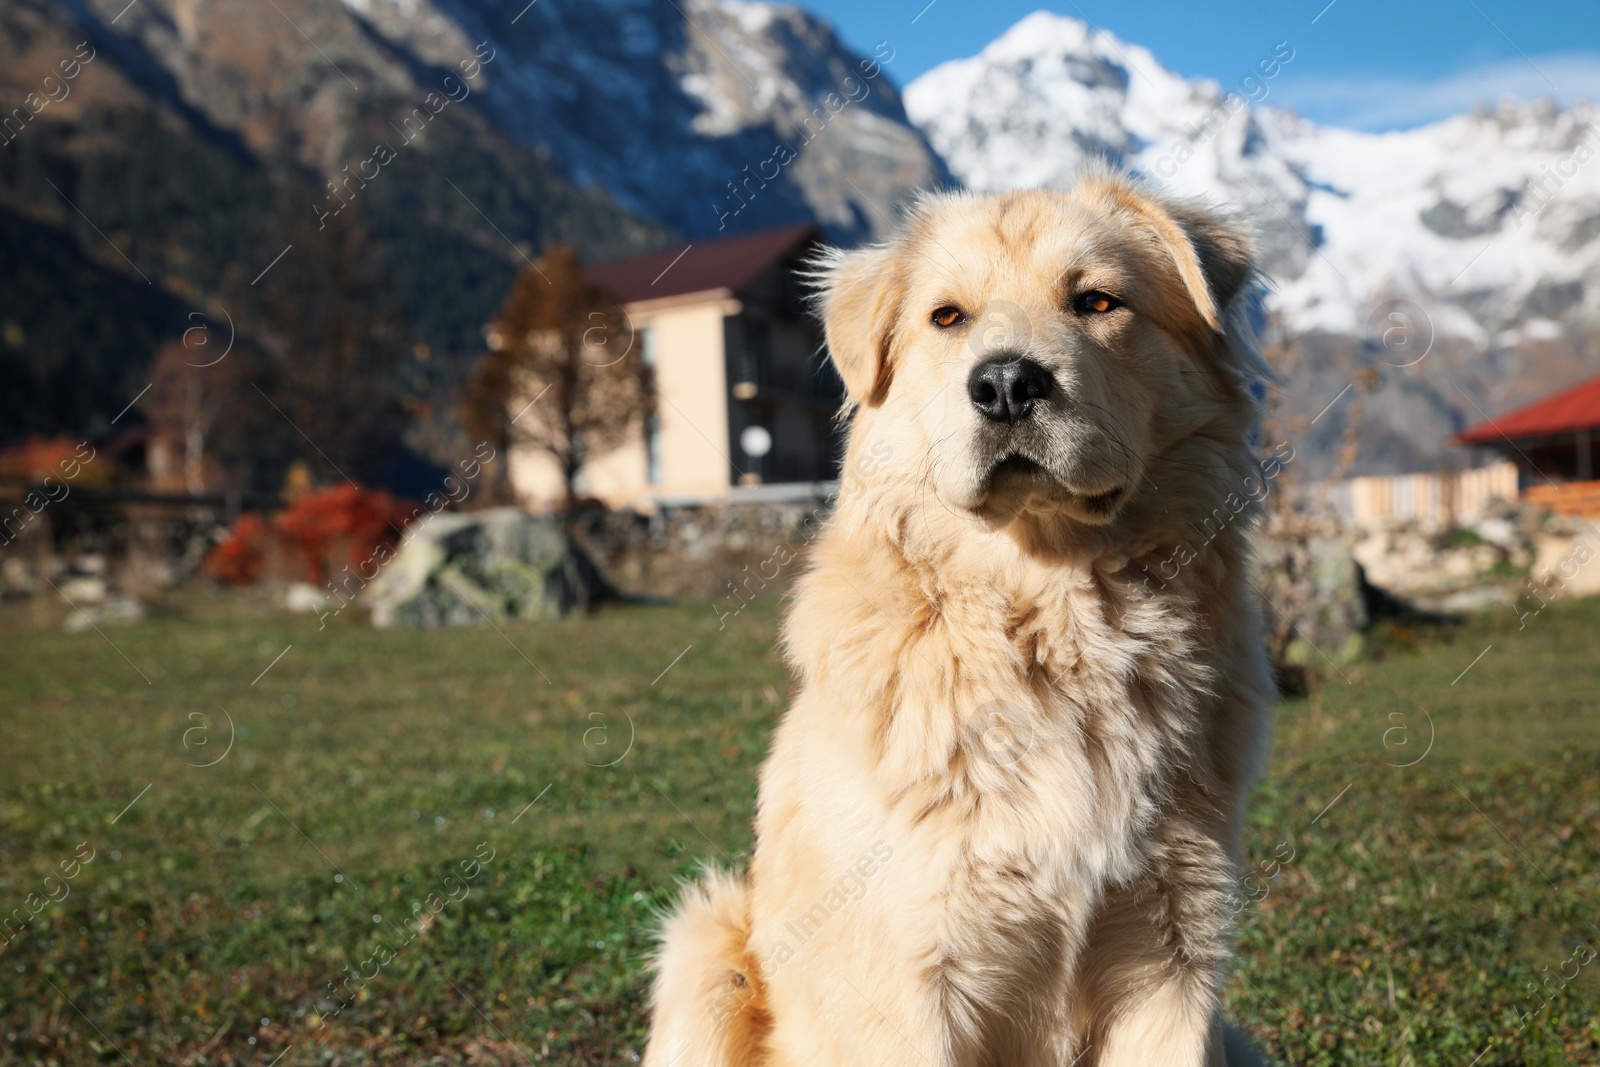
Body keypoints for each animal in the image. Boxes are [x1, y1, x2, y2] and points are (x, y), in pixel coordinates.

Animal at [636, 175, 1273, 1067]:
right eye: (947, 317)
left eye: (1097, 300)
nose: (1005, 384)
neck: (1050, 621)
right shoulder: (908, 981)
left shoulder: (1174, 963)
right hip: (704, 949)